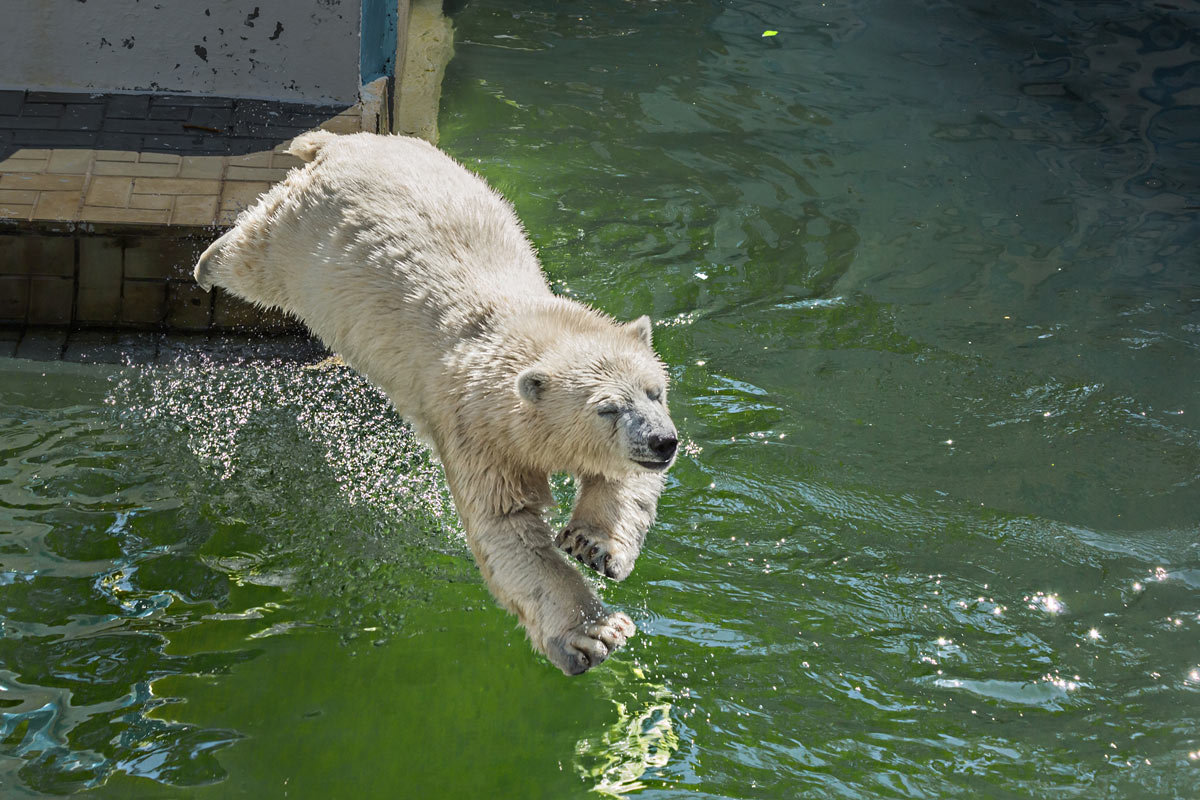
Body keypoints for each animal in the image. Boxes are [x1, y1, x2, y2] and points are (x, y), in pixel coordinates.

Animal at [189, 133, 676, 676]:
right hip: (303, 238)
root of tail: (344, 142)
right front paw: (592, 636)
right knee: (255, 256)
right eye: (607, 408)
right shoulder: (479, 430)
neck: (517, 330)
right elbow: (507, 528)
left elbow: (621, 482)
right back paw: (207, 264)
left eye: (655, 390)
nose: (664, 442)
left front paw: (592, 546)